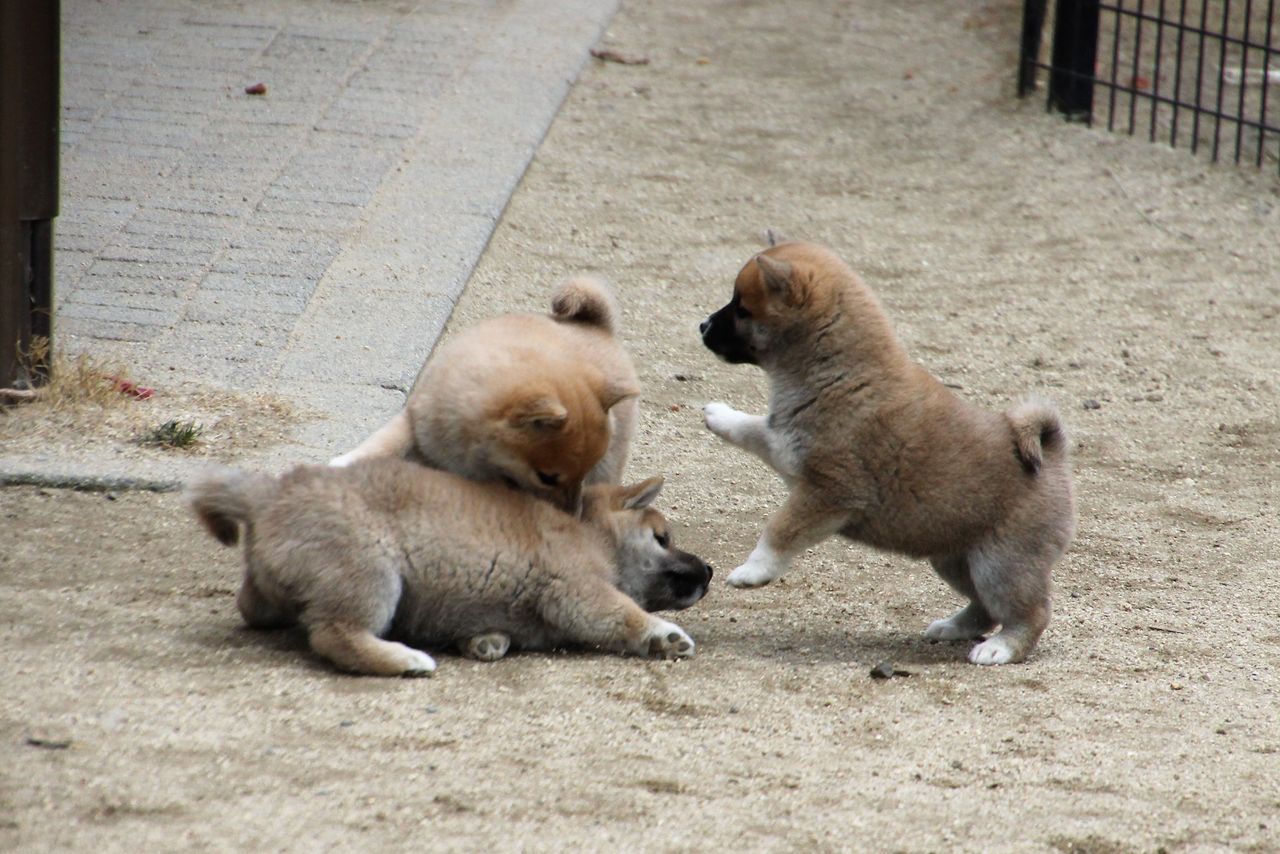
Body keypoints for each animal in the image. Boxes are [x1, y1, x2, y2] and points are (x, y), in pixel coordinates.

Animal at [188, 459, 712, 676]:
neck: (588, 533)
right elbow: (624, 614)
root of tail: (268, 496)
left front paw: (485, 641)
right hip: (371, 571)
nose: (707, 572)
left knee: (255, 608)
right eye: (663, 538)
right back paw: (404, 659)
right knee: (336, 635)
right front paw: (662, 636)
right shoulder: (577, 592)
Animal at [331, 276, 640, 513]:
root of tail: (598, 326)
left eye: (580, 475)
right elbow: (386, 442)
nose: (571, 513)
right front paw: (344, 463)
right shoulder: (418, 421)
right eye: (547, 477)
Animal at [699, 241, 1075, 665]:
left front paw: (753, 571)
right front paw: (720, 416)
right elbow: (751, 429)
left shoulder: (828, 493)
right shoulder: (784, 446)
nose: (702, 326)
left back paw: (1001, 648)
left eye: (742, 309)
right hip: (954, 560)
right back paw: (954, 627)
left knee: (1030, 612)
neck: (841, 373)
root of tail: (1054, 458)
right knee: (985, 608)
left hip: (999, 565)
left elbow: (778, 531)